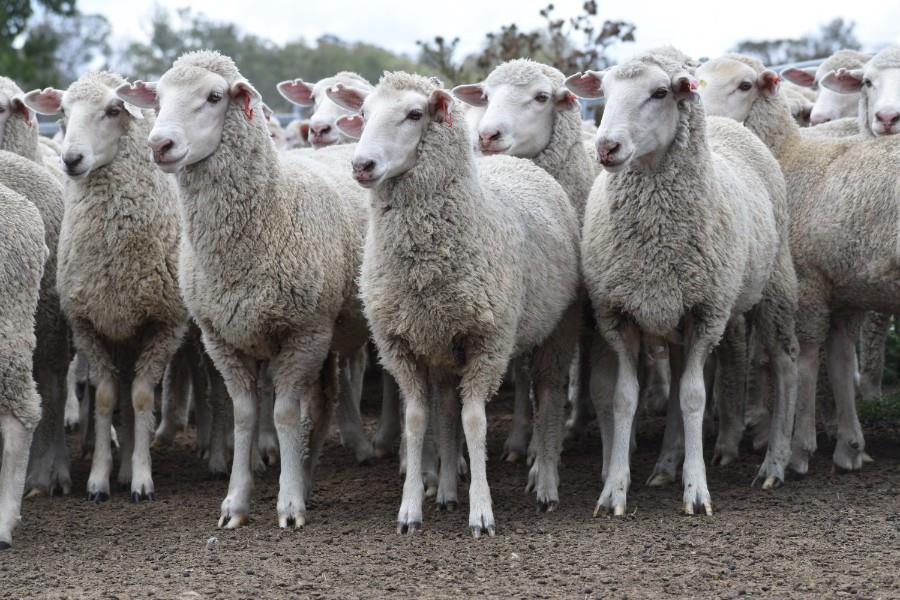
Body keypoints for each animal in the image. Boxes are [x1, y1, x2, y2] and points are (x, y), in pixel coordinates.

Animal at [24, 72, 189, 502]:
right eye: (63, 112)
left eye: (114, 110)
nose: (71, 160)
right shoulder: (89, 324)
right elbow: (104, 399)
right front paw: (98, 480)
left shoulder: (163, 323)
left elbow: (143, 397)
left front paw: (142, 479)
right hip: (120, 330)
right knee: (122, 395)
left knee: (134, 396)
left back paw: (131, 467)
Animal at [116, 50, 371, 528]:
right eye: (157, 98)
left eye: (215, 97)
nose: (159, 145)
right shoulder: (222, 338)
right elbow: (245, 416)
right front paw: (236, 502)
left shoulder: (303, 333)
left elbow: (284, 413)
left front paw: (288, 505)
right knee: (325, 402)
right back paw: (308, 477)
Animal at [329, 71, 580, 536]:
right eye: (364, 113)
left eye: (415, 113)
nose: (361, 165)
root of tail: (519, 163)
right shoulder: (402, 344)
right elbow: (418, 421)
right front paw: (411, 508)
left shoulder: (488, 342)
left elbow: (475, 420)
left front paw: (481, 512)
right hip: (443, 346)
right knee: (446, 406)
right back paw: (446, 491)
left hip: (558, 328)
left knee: (549, 395)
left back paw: (546, 484)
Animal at [565, 47, 799, 515]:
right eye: (605, 92)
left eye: (660, 93)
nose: (606, 146)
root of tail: (729, 125)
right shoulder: (619, 315)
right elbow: (625, 399)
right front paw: (614, 489)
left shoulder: (707, 314)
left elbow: (693, 397)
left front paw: (697, 489)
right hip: (674, 315)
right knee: (674, 385)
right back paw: (665, 465)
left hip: (774, 285)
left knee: (785, 366)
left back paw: (774, 464)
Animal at [697, 53, 900, 474]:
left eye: (745, 85)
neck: (788, 157)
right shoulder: (842, 289)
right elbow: (839, 361)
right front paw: (849, 447)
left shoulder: (805, 282)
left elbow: (804, 359)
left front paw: (796, 449)